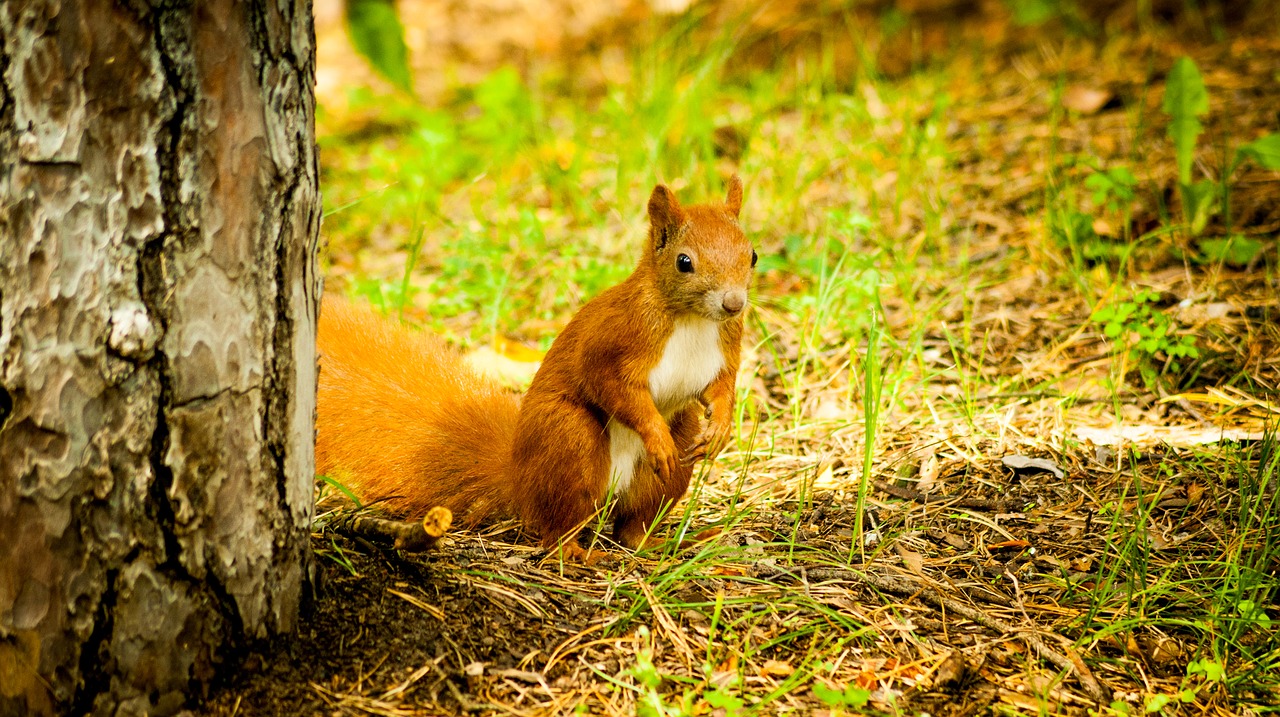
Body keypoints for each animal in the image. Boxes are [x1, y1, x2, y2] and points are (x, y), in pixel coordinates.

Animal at [316, 176, 752, 558]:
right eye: (684, 262)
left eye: (752, 255)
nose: (734, 303)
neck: (693, 320)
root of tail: (518, 480)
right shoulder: (614, 340)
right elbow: (613, 387)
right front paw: (656, 436)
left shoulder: (726, 347)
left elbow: (721, 387)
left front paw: (721, 429)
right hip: (569, 439)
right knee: (558, 525)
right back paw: (574, 552)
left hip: (671, 458)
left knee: (633, 524)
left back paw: (653, 543)